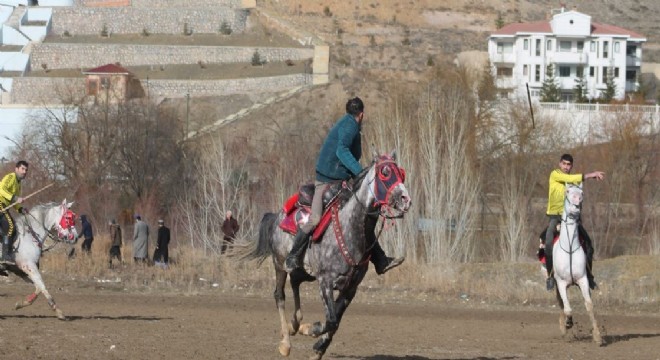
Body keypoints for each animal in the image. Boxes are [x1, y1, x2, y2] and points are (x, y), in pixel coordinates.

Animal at [240, 150, 410, 358]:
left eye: (401, 173)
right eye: (385, 172)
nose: (406, 199)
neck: (350, 229)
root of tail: (277, 216)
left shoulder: (350, 289)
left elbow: (335, 321)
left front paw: (317, 347)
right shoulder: (325, 282)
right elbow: (331, 320)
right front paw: (310, 330)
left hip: (304, 271)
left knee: (295, 282)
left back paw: (294, 324)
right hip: (279, 264)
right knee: (279, 295)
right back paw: (286, 342)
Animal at [552, 184, 604, 344]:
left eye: (582, 193)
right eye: (567, 191)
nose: (577, 202)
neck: (569, 248)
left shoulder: (583, 279)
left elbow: (589, 305)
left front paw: (597, 336)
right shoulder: (561, 282)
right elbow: (567, 308)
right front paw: (567, 323)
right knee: (562, 303)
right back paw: (563, 326)